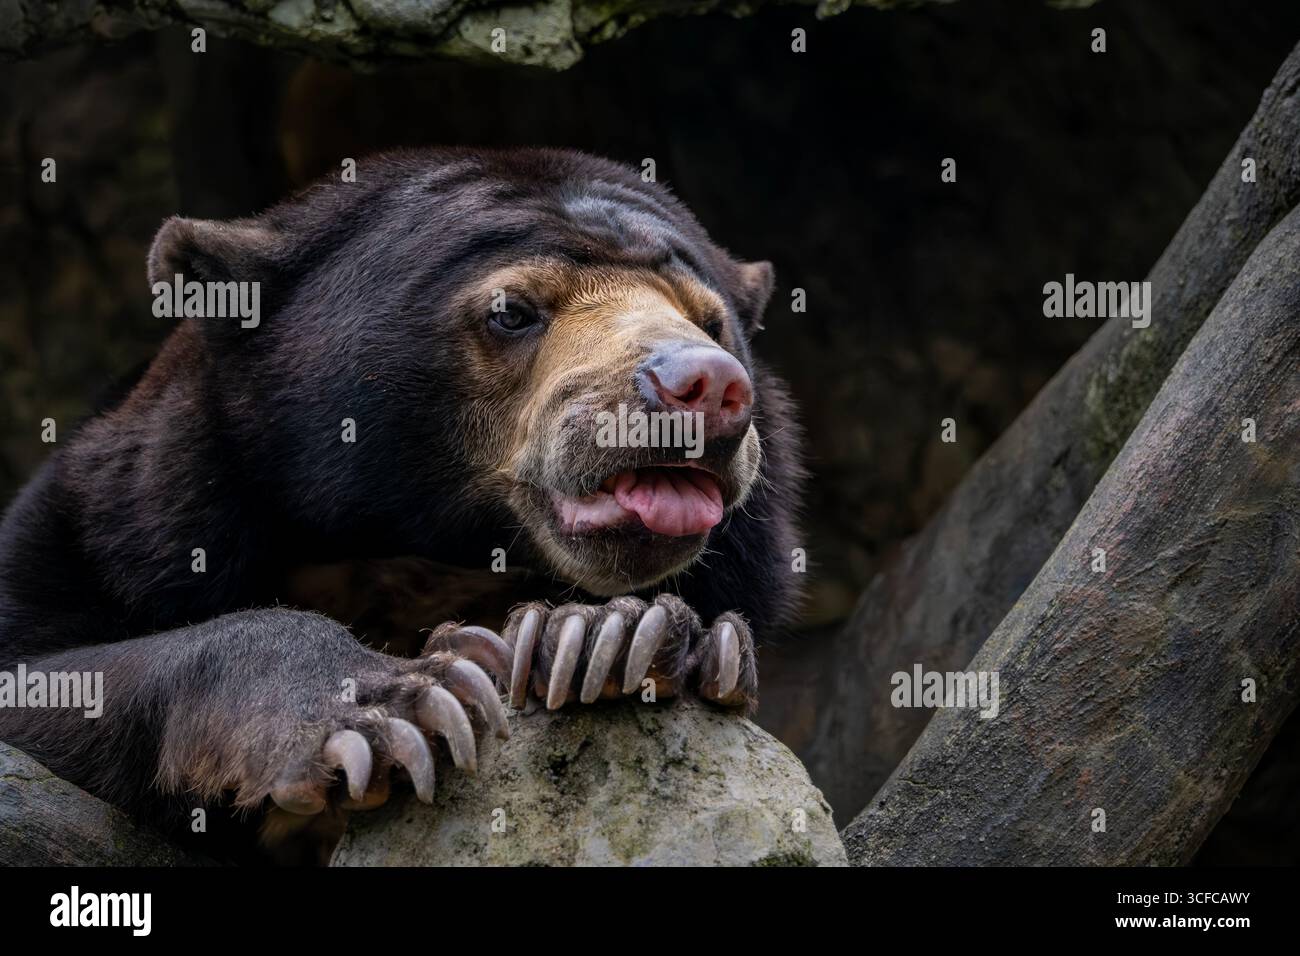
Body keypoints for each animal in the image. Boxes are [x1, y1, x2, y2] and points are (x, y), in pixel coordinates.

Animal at [0, 147, 804, 863]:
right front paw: (396, 708)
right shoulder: (123, 521)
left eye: (711, 321)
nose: (704, 384)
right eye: (512, 311)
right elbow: (45, 677)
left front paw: (603, 636)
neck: (416, 553)